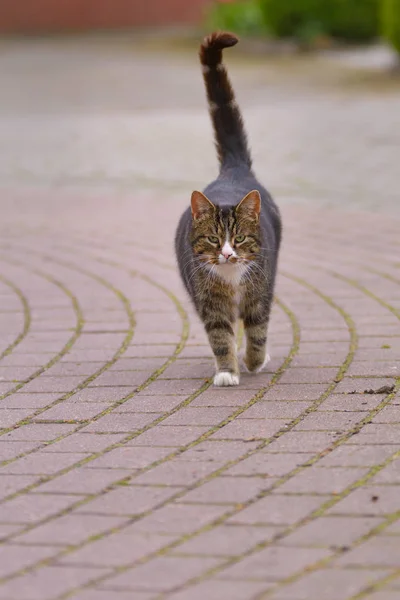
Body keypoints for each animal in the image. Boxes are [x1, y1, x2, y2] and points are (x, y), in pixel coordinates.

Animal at [175, 31, 282, 390]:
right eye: (212, 239)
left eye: (239, 238)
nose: (226, 253)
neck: (232, 278)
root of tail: (232, 171)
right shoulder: (209, 301)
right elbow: (220, 335)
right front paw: (226, 370)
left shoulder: (260, 292)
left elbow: (258, 329)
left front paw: (254, 360)